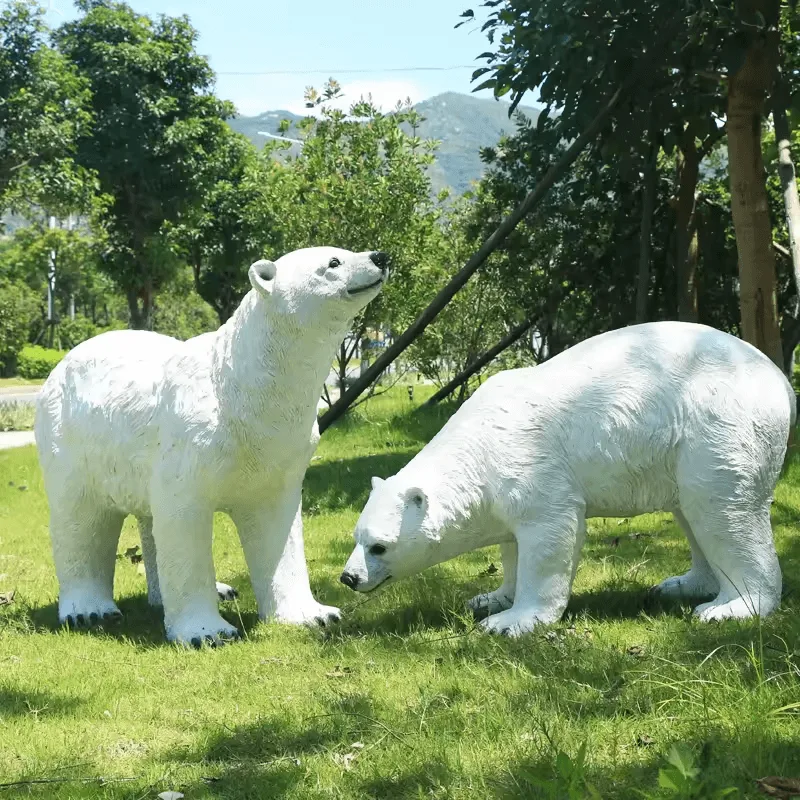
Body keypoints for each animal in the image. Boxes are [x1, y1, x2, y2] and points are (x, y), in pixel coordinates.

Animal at [35, 246, 388, 646]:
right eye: (333, 263)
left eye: (345, 251)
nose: (380, 256)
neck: (237, 383)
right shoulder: (192, 439)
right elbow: (182, 519)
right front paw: (206, 632)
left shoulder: (281, 446)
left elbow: (276, 525)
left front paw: (314, 614)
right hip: (71, 436)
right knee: (81, 517)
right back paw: (89, 610)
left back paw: (215, 590)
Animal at [340, 321, 796, 636]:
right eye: (356, 537)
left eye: (380, 546)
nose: (348, 578)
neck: (478, 447)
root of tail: (780, 380)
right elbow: (511, 543)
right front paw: (488, 598)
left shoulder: (532, 465)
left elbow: (550, 536)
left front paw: (509, 622)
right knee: (691, 510)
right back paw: (682, 585)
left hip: (720, 426)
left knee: (722, 508)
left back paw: (730, 607)